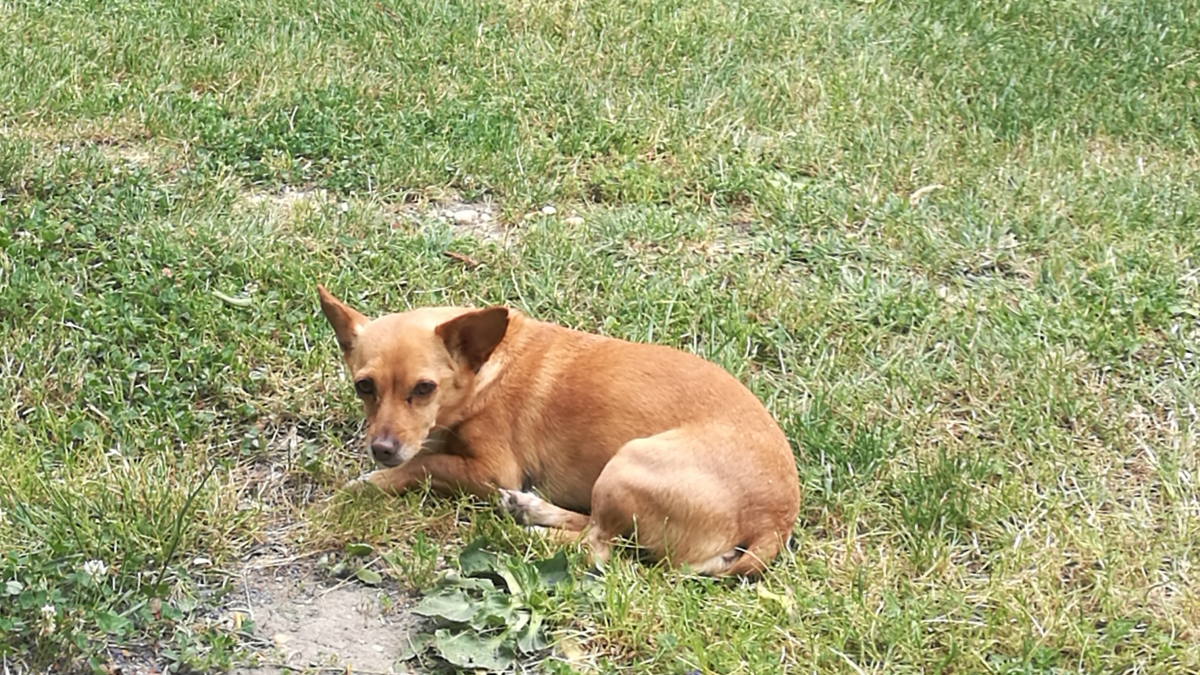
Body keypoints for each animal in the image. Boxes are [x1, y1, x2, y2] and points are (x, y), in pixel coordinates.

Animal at [321, 283, 796, 571]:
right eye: (364, 386)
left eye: (424, 388)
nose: (381, 448)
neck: (486, 367)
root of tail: (774, 522)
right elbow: (426, 452)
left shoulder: (493, 471)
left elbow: (424, 464)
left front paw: (373, 481)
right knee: (593, 529)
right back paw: (531, 510)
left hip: (626, 463)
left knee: (597, 546)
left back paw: (522, 533)